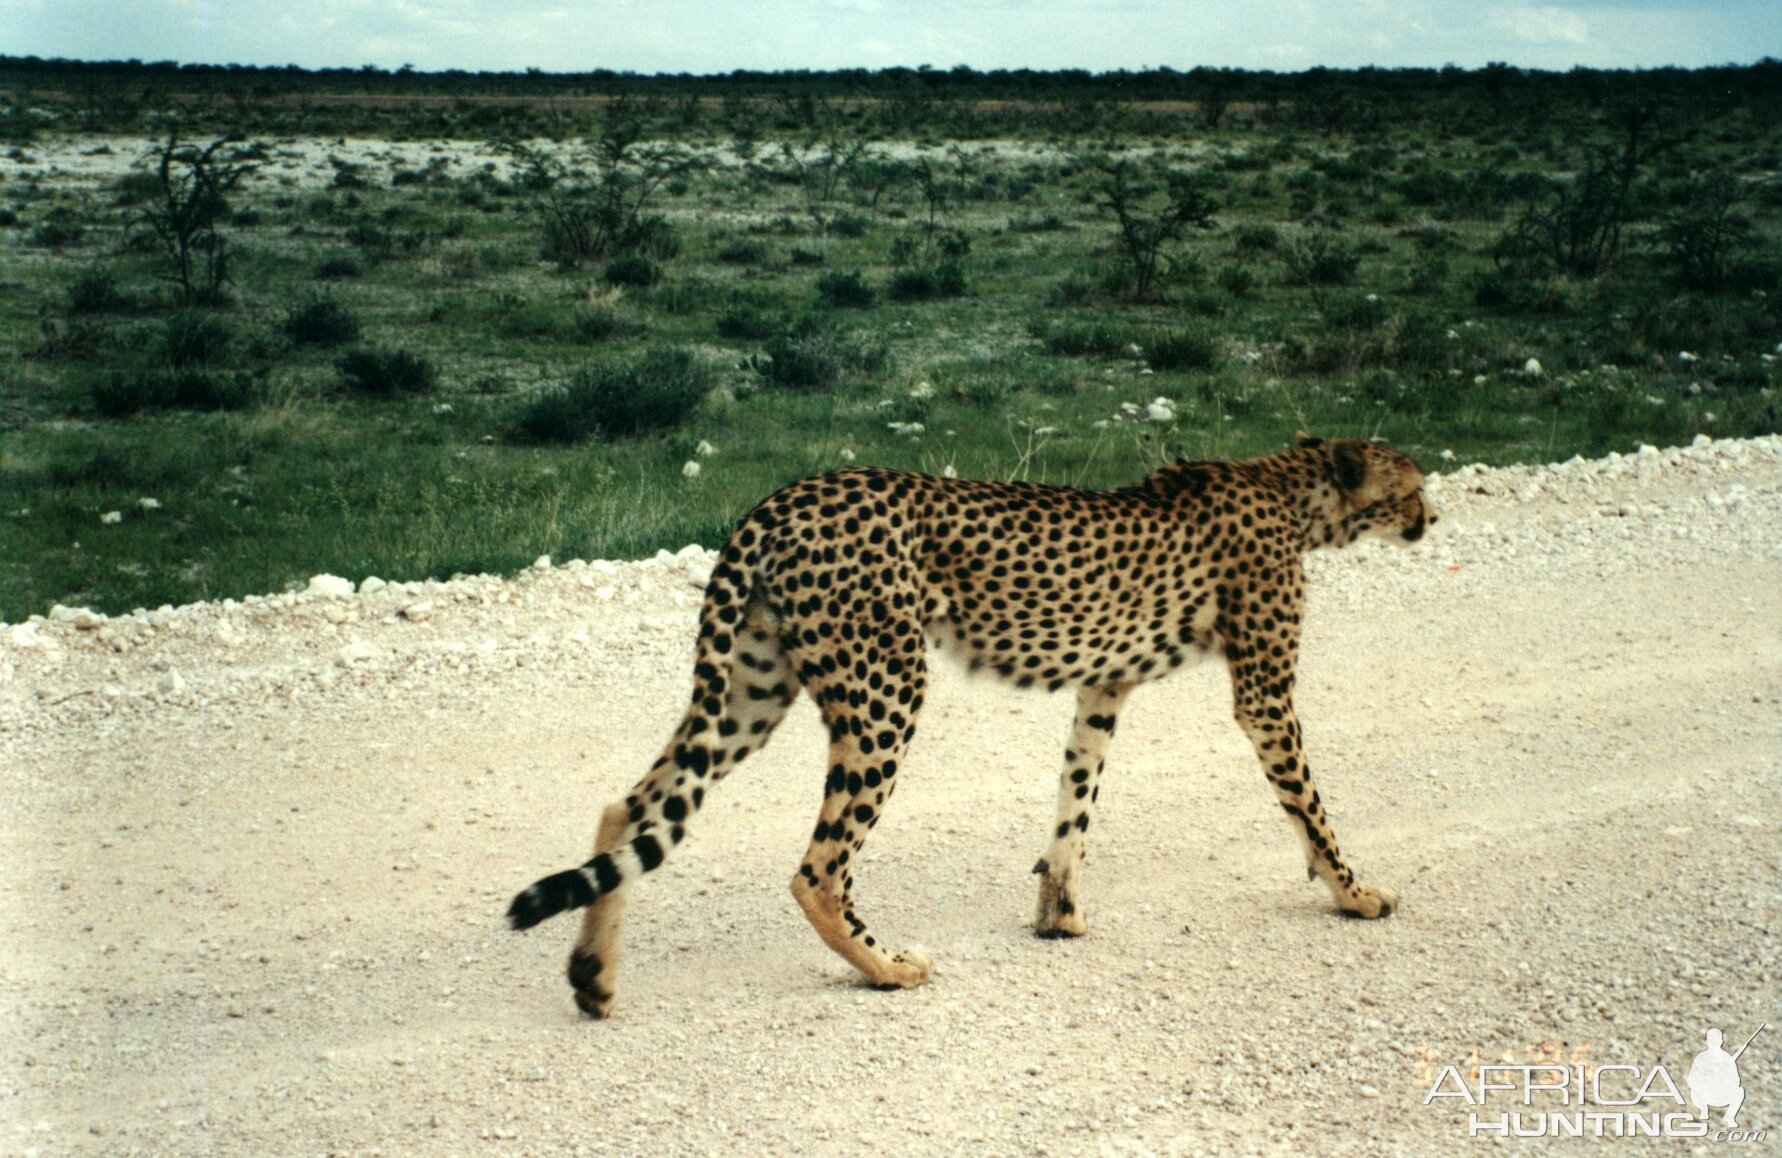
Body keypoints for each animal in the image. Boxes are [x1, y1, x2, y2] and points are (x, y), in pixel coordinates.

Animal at [506, 432, 1432, 1011]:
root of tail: (786, 494)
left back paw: (593, 978)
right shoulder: (1264, 692)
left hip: (753, 688)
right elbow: (1310, 805)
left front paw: (1058, 912)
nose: (1432, 518)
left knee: (631, 805)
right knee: (818, 870)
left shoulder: (1105, 685)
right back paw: (888, 969)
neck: (1295, 489)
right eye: (1415, 486)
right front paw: (1356, 894)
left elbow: (1076, 799)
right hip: (886, 687)